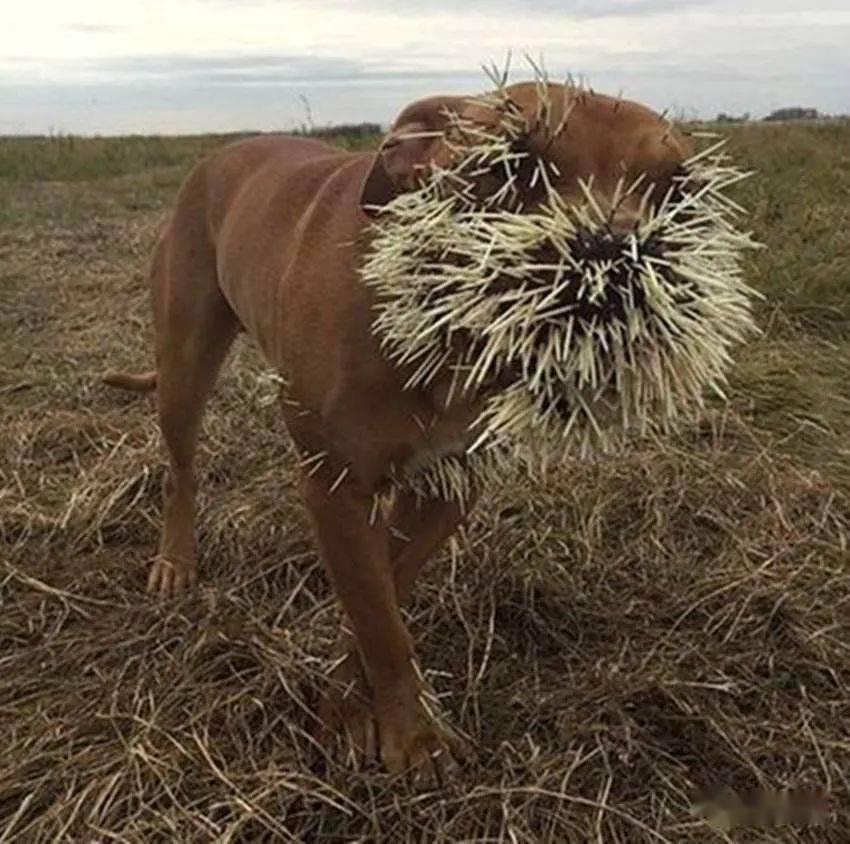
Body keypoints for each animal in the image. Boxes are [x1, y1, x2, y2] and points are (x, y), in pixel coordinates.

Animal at [104, 84, 688, 780]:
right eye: (510, 165)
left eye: (677, 188)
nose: (614, 257)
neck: (445, 332)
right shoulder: (334, 485)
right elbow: (379, 618)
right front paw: (414, 738)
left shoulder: (448, 486)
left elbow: (384, 593)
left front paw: (351, 707)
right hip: (184, 362)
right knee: (181, 467)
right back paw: (175, 560)